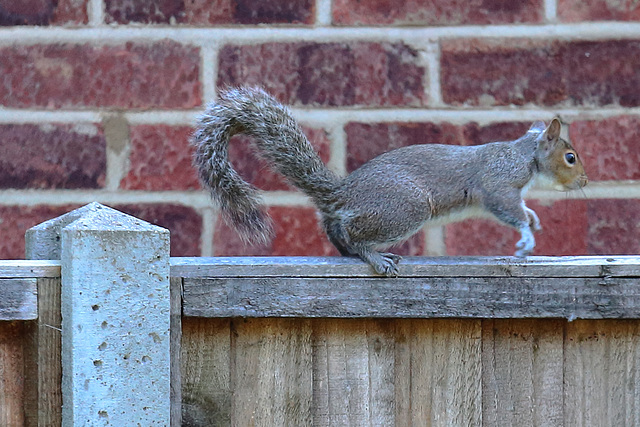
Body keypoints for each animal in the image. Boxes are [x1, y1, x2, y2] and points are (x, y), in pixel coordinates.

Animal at [192, 88, 588, 280]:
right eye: (571, 157)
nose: (585, 179)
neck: (524, 154)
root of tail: (341, 194)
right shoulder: (500, 181)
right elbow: (506, 207)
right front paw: (527, 234)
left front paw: (533, 218)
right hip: (406, 207)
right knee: (351, 232)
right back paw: (375, 256)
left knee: (337, 233)